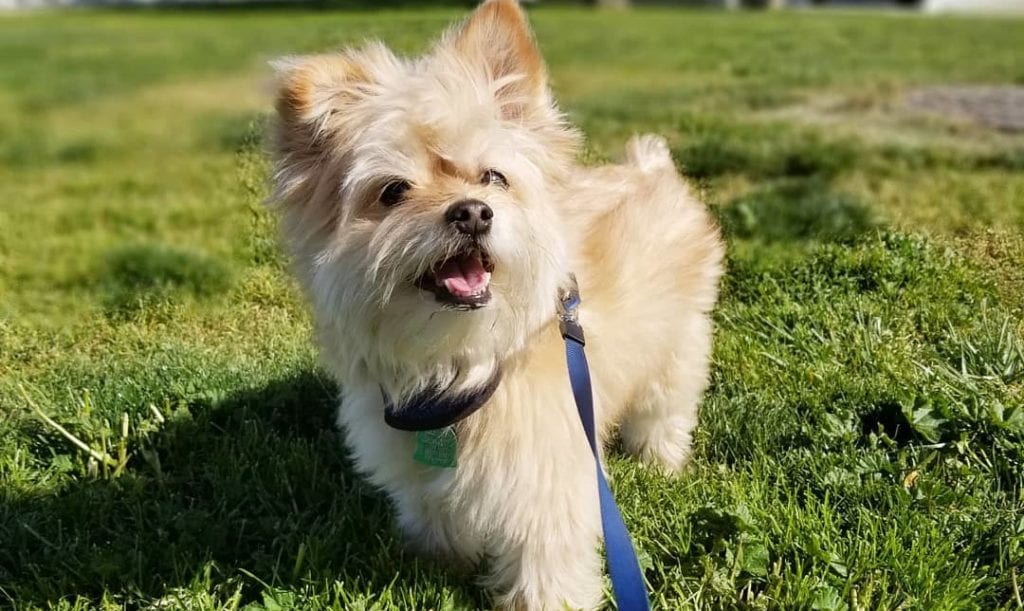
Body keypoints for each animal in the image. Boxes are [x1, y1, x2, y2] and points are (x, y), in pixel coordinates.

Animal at [268, 2, 724, 605]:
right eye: (392, 191)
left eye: (492, 177)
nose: (472, 212)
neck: (460, 361)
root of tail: (652, 168)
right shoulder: (419, 474)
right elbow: (436, 520)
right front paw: (438, 569)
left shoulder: (548, 483)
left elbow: (545, 566)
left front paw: (548, 603)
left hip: (678, 346)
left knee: (664, 407)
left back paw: (660, 461)